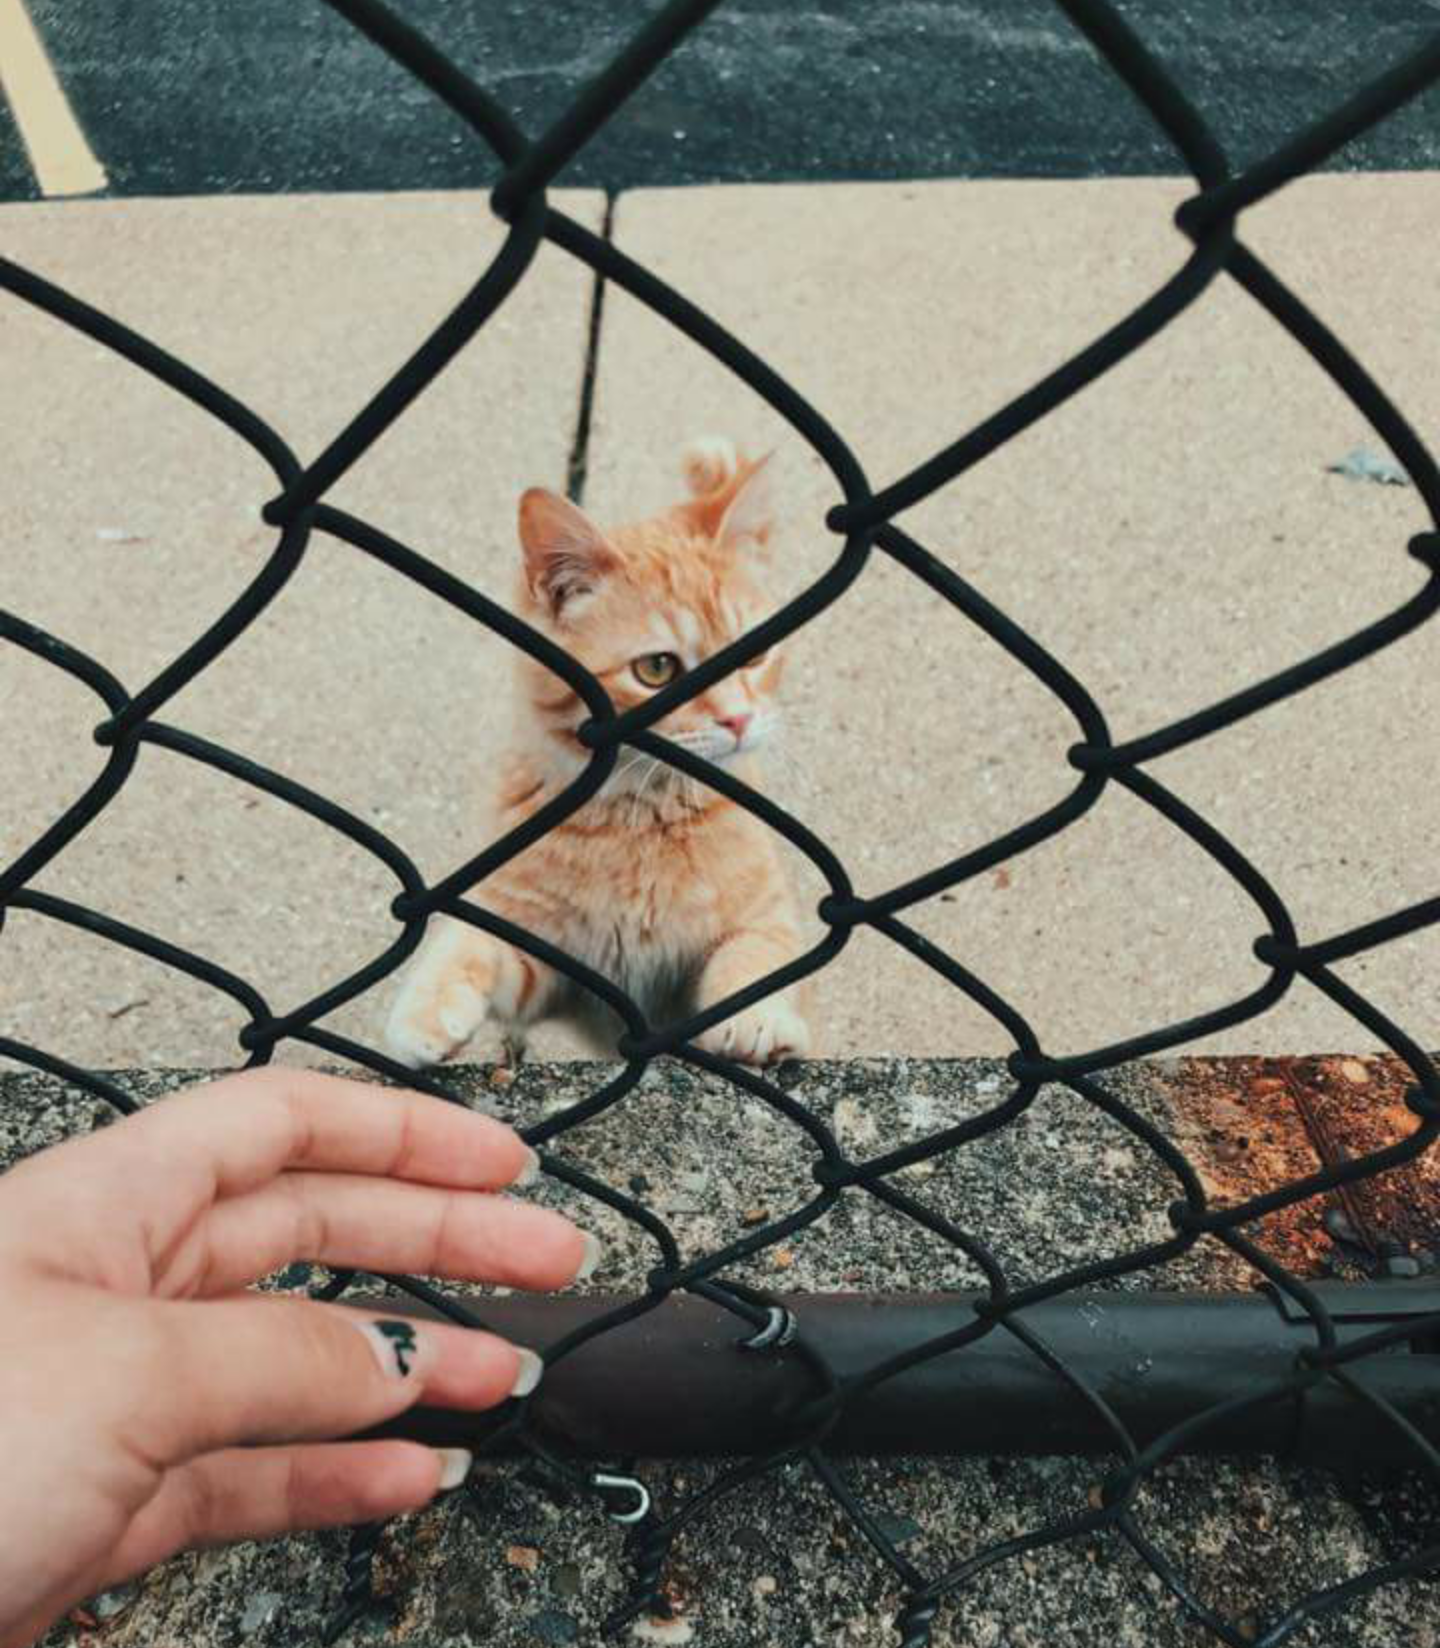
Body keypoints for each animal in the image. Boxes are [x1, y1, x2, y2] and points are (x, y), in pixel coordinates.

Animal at [383, 436, 813, 1070]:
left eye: (753, 655)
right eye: (657, 669)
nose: (738, 720)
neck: (640, 819)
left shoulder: (761, 921)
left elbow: (757, 952)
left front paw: (757, 1017)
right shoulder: (552, 972)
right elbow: (468, 942)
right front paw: (423, 1007)